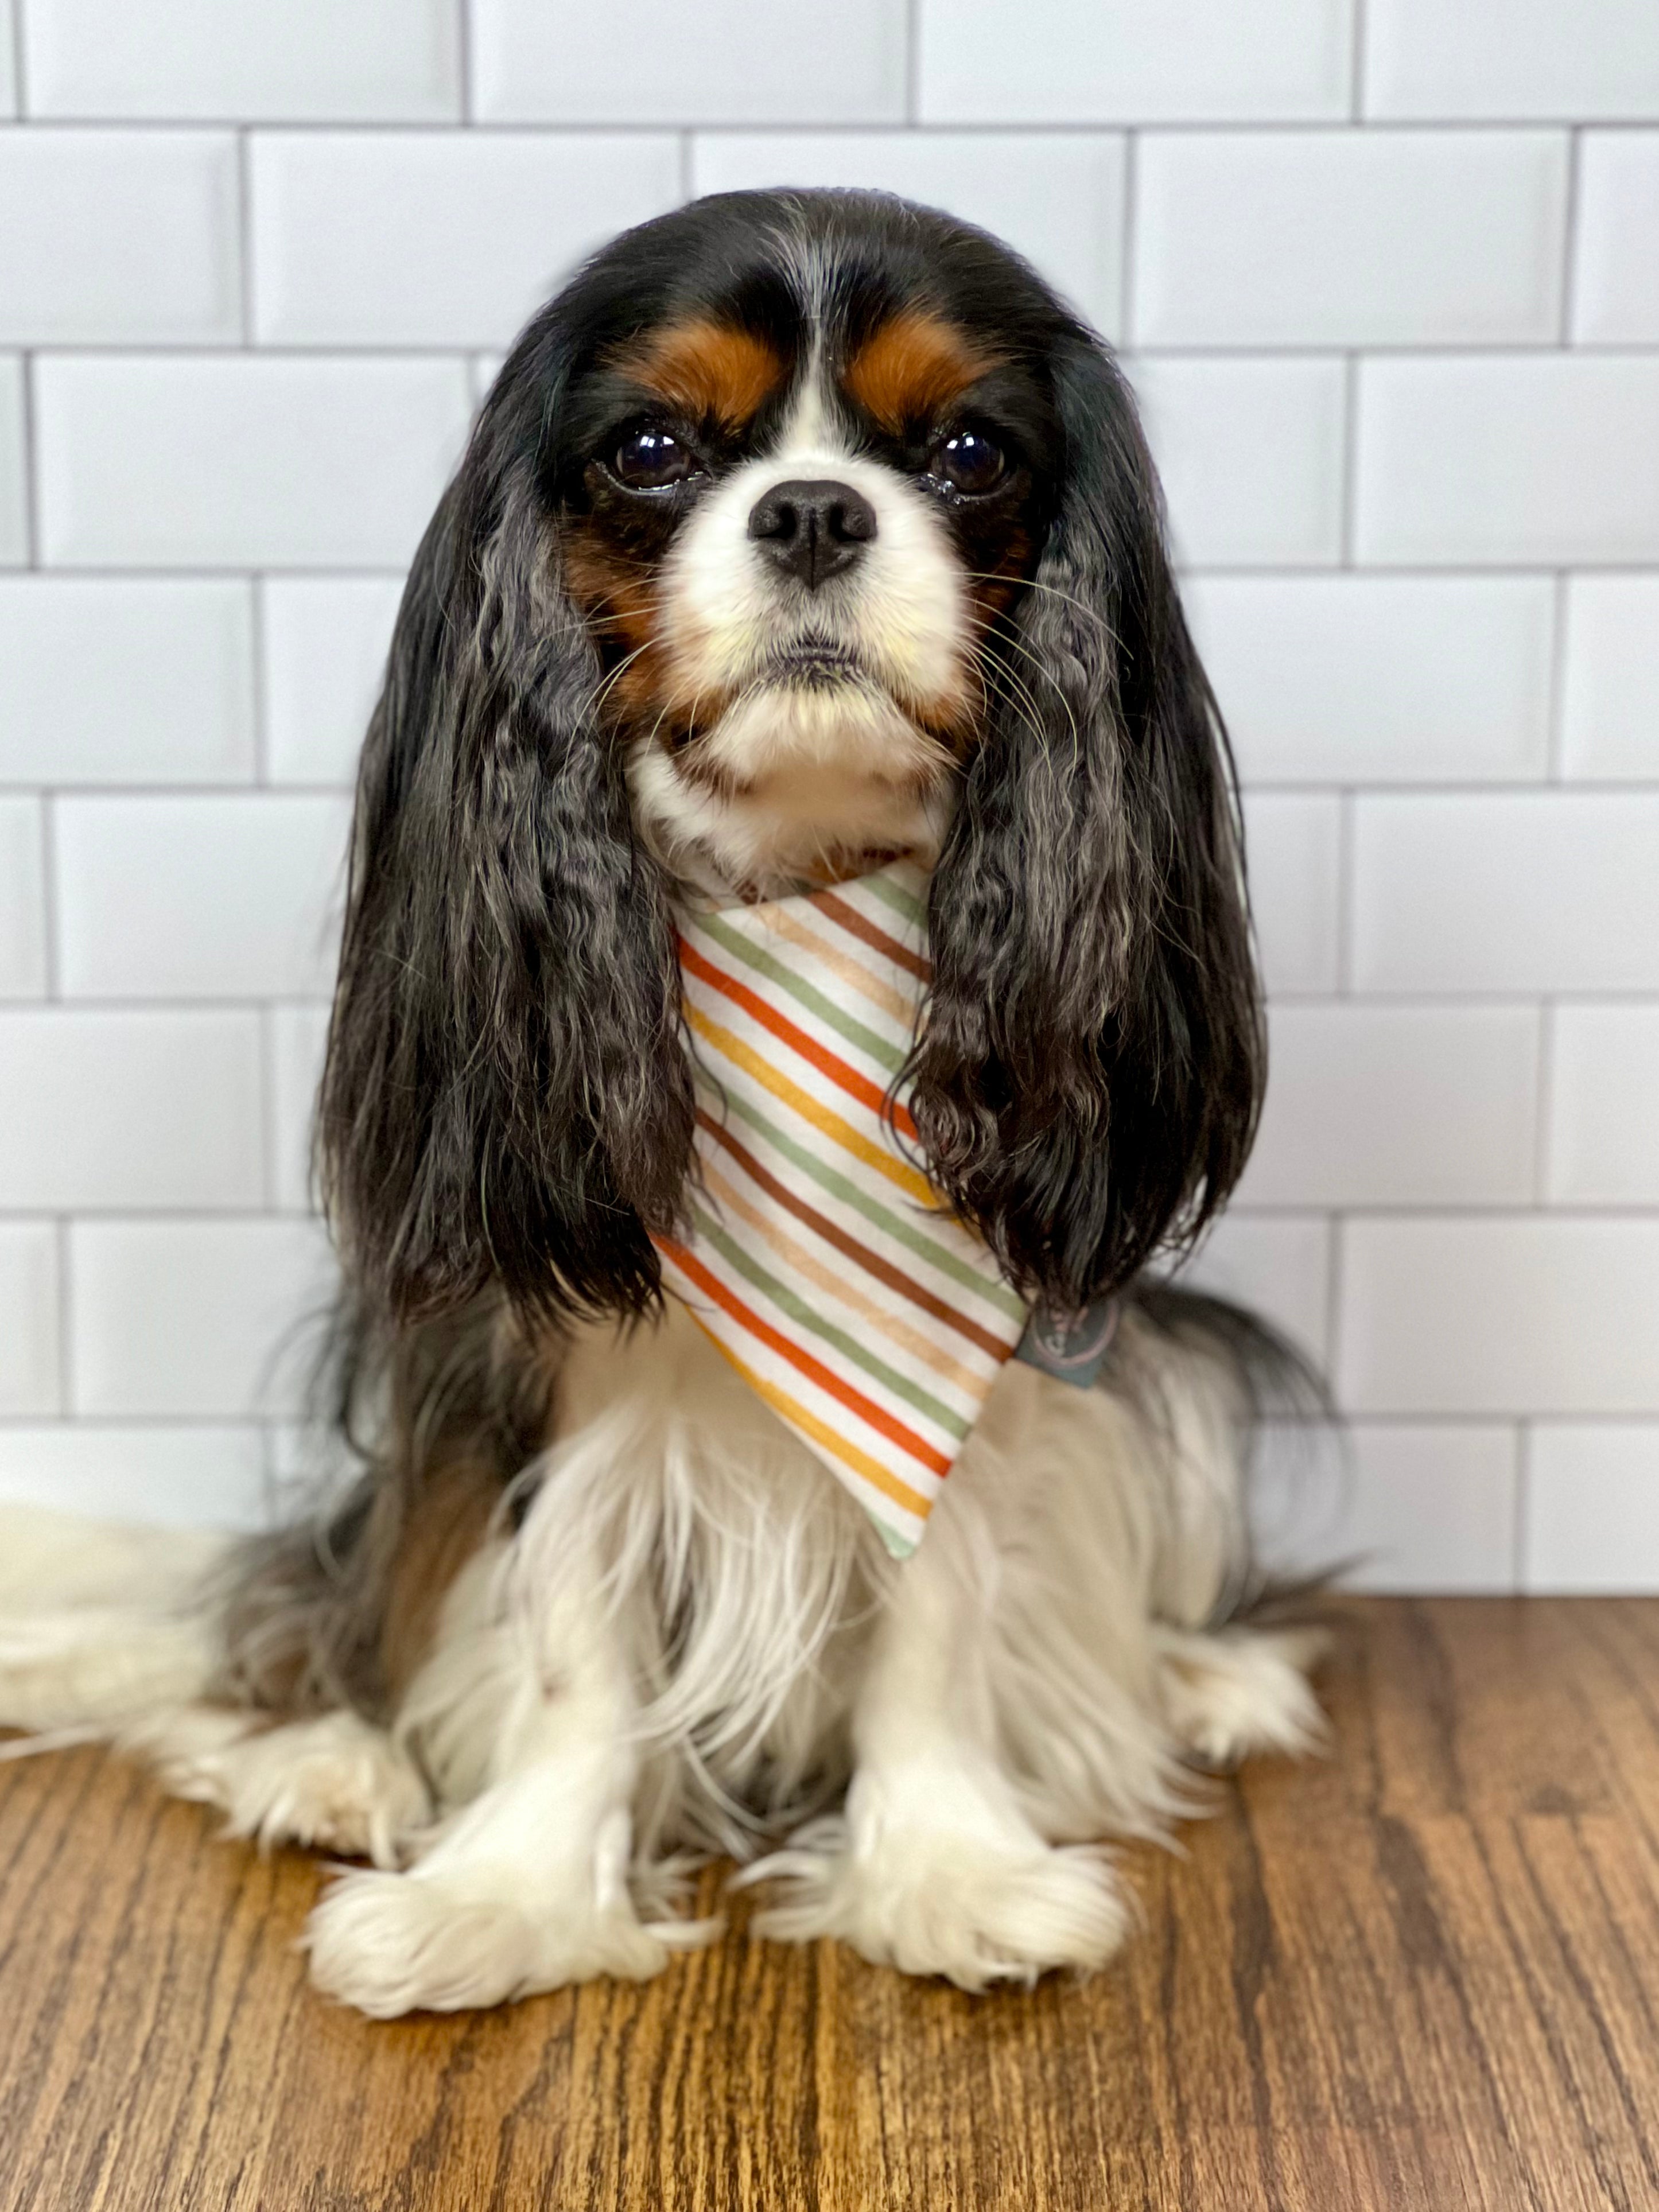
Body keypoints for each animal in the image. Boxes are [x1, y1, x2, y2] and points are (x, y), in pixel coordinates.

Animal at [0, 199, 1327, 2017]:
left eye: (969, 452)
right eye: (650, 450)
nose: (816, 508)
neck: (797, 883)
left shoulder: (988, 1365)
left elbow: (939, 1609)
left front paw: (947, 1868)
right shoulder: (551, 1354)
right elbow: (571, 1627)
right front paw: (503, 1892)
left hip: (1163, 1376)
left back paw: (1194, 1678)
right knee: (333, 1593)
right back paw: (328, 1757)